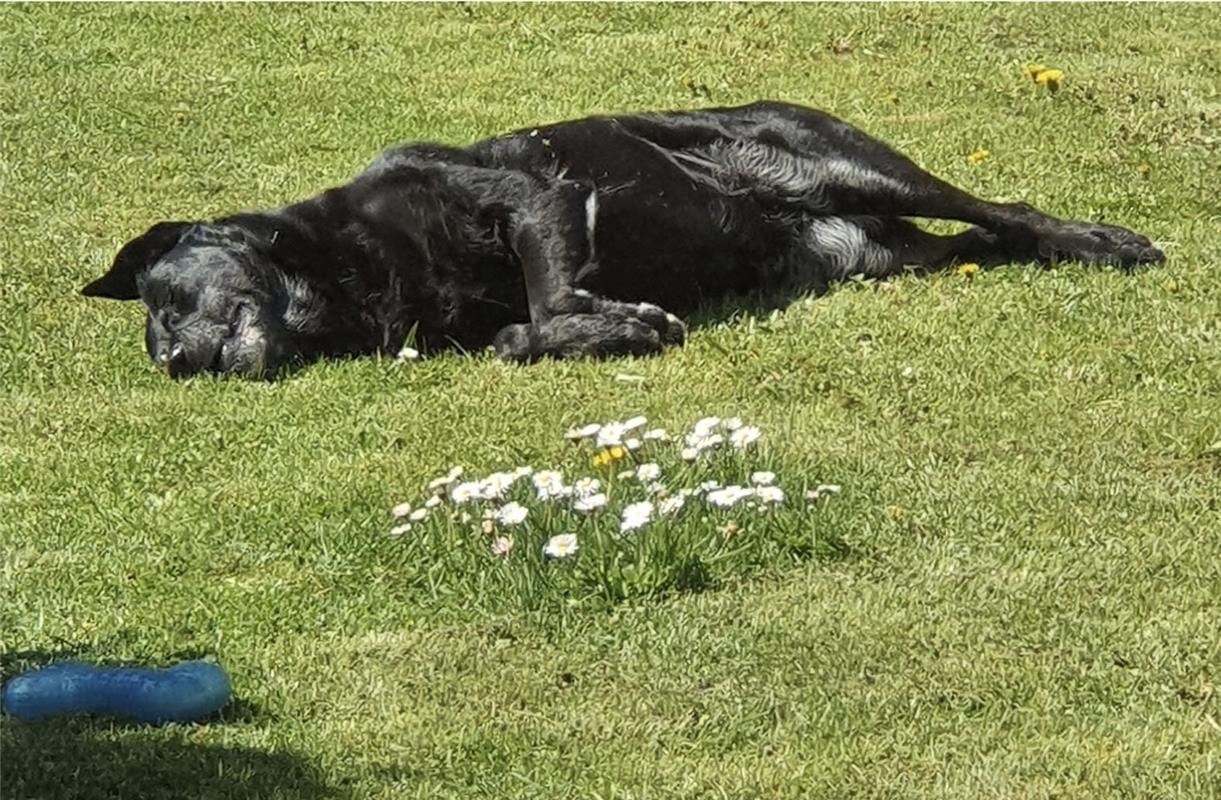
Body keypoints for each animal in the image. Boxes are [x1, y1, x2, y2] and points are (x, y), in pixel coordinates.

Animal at [78, 101, 1162, 381]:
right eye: (155, 330)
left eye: (165, 302)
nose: (173, 361)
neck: (339, 262)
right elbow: (521, 331)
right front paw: (594, 330)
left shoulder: (534, 195)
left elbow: (550, 304)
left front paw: (620, 327)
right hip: (880, 247)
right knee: (986, 241)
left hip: (850, 161)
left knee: (1007, 210)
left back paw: (1107, 241)